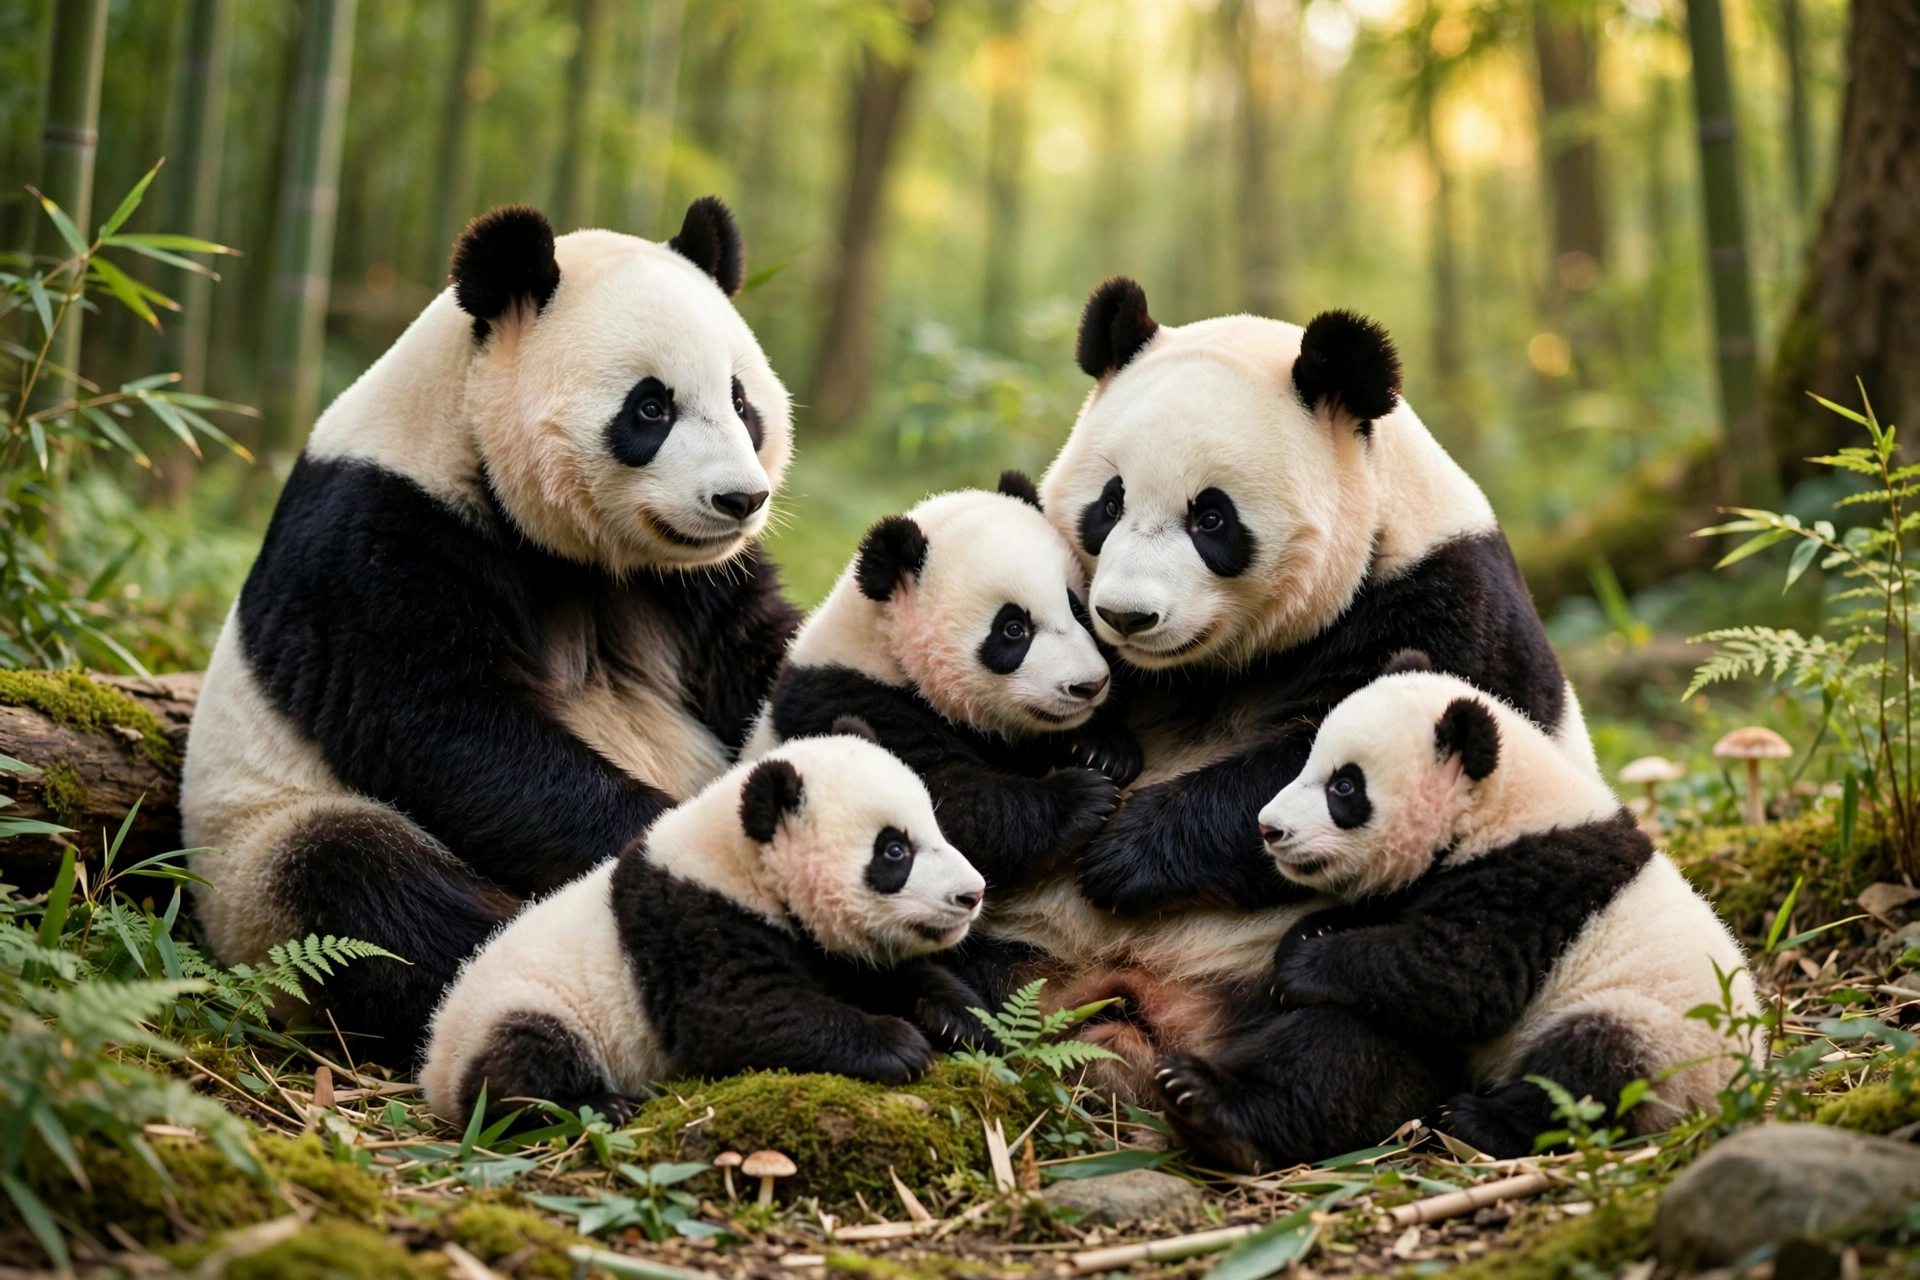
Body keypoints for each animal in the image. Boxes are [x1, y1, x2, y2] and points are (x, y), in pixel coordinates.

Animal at [181, 198, 798, 1063]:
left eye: (743, 402)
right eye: (651, 407)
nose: (739, 500)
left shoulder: (697, 582)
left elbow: (769, 665)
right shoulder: (381, 533)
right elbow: (449, 732)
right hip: (260, 861)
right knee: (371, 892)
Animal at [420, 729, 988, 1126]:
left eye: (936, 828)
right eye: (894, 850)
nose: (972, 895)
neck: (740, 864)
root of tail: (432, 1069)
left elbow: (881, 973)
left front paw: (960, 1019)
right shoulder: (691, 924)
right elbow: (738, 1015)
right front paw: (898, 1046)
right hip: (518, 1007)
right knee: (522, 1062)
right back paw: (597, 1106)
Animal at [747, 472, 1133, 895]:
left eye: (1077, 608)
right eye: (1013, 629)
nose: (1089, 685)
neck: (886, 651)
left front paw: (1101, 749)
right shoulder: (850, 700)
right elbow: (943, 803)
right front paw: (1082, 795)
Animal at [1150, 666, 1754, 1171]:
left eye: (1344, 786)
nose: (1269, 828)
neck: (1502, 804)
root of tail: (1728, 1093)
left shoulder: (1534, 883)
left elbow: (1464, 978)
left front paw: (1305, 962)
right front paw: (1308, 936)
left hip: (1660, 1036)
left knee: (1587, 1069)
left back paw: (1475, 1122)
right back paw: (1200, 1104)